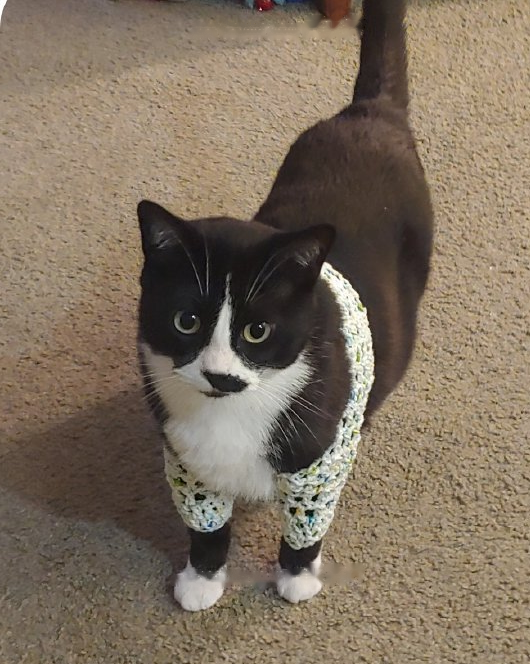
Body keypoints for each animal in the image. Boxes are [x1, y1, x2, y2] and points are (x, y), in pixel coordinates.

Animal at [137, 0, 433, 611]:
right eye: (186, 321)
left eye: (258, 331)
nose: (220, 375)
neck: (229, 416)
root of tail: (368, 111)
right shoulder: (186, 464)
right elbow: (206, 525)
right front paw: (202, 579)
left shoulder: (317, 464)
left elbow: (306, 522)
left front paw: (296, 576)